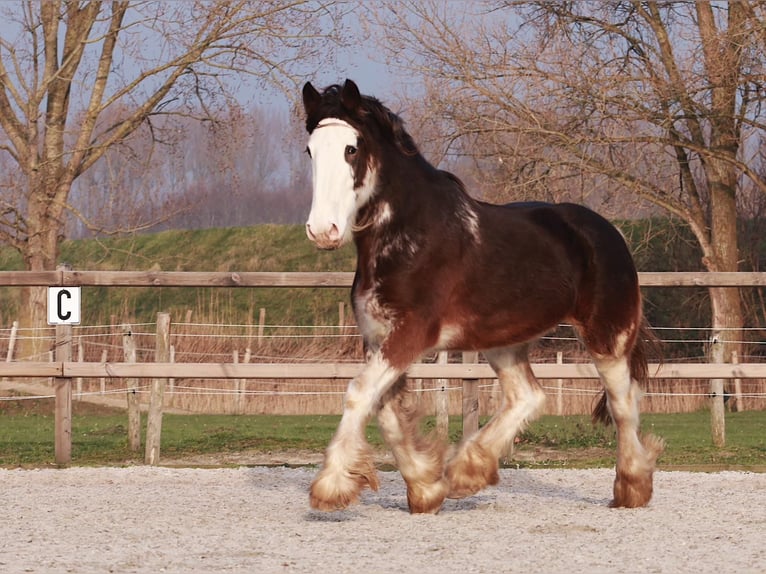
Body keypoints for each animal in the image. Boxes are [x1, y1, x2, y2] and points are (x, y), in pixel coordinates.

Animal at [304, 79, 664, 516]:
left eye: (351, 149)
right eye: (310, 150)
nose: (323, 230)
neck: (410, 239)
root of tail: (608, 231)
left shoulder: (410, 334)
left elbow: (358, 396)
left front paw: (331, 486)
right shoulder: (378, 339)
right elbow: (385, 410)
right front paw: (425, 487)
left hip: (607, 336)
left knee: (622, 403)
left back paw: (631, 488)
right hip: (504, 342)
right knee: (528, 397)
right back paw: (467, 471)